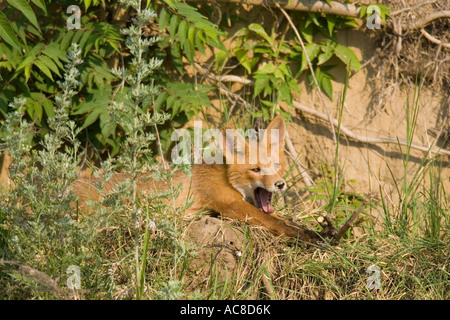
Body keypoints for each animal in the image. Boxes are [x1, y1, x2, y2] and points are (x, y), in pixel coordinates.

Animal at [72, 116, 328, 244]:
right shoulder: (230, 204)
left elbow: (284, 220)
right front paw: (307, 237)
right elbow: (277, 224)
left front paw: (322, 232)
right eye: (255, 169)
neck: (224, 176)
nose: (280, 184)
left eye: (276, 166)